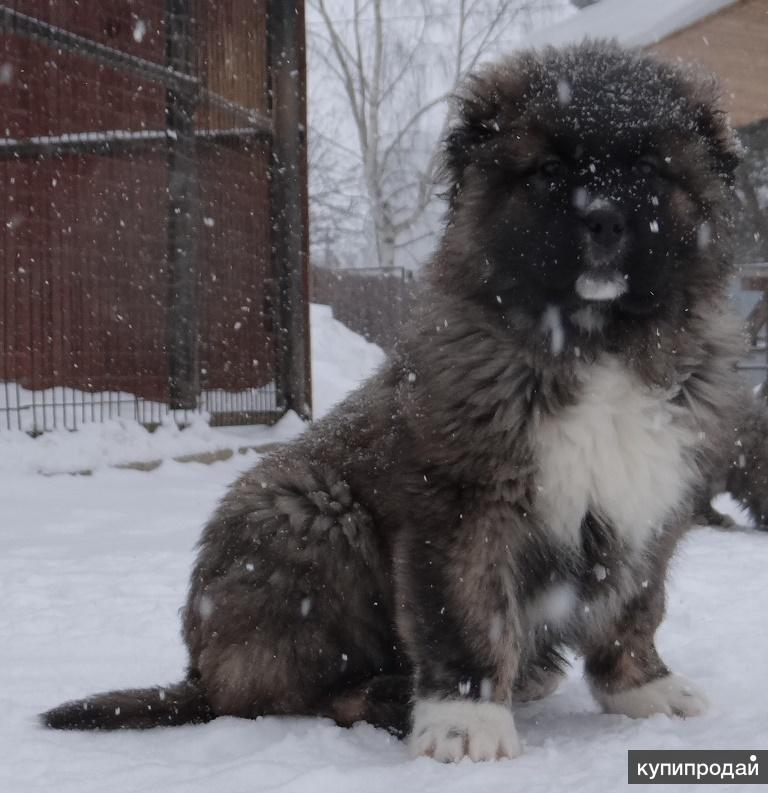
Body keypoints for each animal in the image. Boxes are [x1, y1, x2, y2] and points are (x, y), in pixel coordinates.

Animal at [43, 41, 752, 760]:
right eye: (550, 169)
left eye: (649, 170)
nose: (603, 217)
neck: (597, 344)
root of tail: (198, 674)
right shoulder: (465, 505)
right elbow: (466, 615)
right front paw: (467, 720)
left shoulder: (652, 504)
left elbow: (634, 608)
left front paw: (643, 687)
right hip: (303, 509)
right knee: (296, 692)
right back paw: (398, 695)